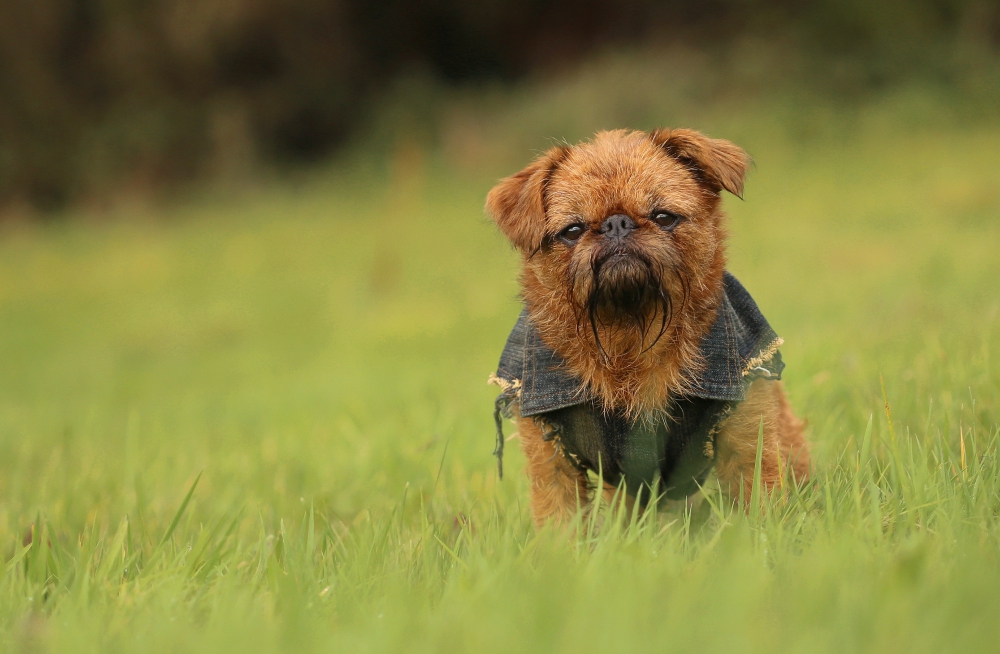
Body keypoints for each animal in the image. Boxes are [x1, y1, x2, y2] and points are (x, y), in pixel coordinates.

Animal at [488, 129, 808, 528]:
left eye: (664, 217)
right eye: (572, 231)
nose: (617, 223)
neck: (626, 334)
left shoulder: (747, 434)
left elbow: (759, 501)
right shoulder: (552, 458)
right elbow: (560, 521)